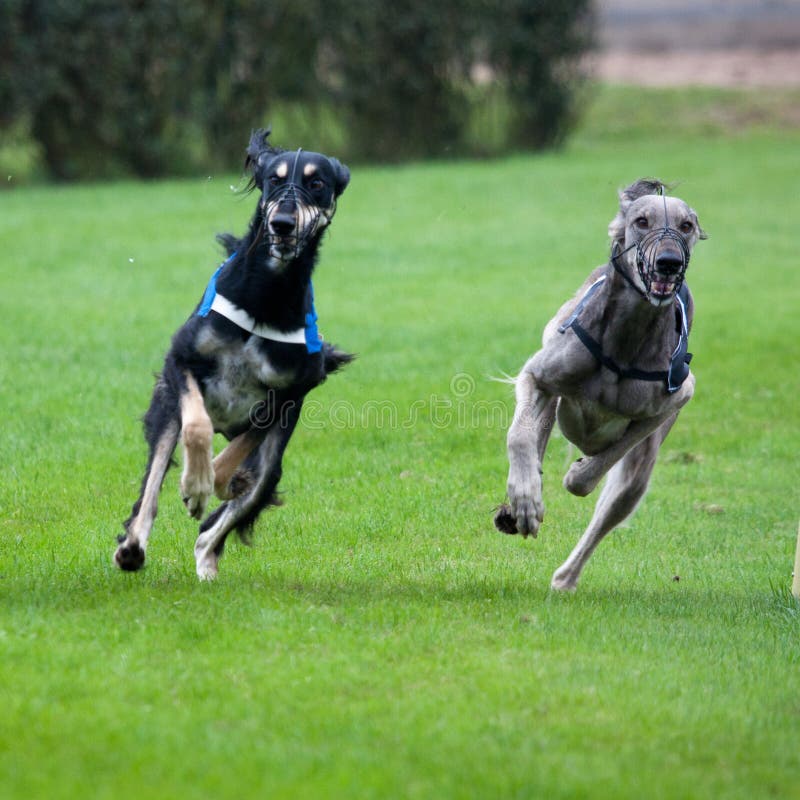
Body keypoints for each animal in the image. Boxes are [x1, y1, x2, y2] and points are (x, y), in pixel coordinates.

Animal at [114, 128, 352, 580]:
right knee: (151, 489)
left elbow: (238, 454)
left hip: (271, 462)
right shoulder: (182, 359)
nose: (282, 224)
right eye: (274, 179)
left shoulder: (294, 389)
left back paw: (208, 555)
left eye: (316, 183)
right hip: (166, 410)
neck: (266, 295)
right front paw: (195, 484)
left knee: (214, 526)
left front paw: (215, 481)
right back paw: (133, 546)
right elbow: (196, 428)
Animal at [494, 183, 708, 592]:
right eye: (642, 221)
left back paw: (565, 578)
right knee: (535, 431)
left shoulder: (677, 396)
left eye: (687, 225)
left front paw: (580, 470)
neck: (627, 339)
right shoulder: (537, 375)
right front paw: (525, 499)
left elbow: (595, 468)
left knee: (610, 508)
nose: (669, 262)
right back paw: (519, 505)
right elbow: (519, 436)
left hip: (639, 473)